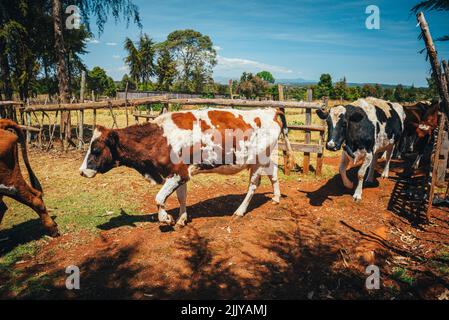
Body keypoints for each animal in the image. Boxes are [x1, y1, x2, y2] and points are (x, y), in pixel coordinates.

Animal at [79, 107, 294, 225]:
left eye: (96, 149)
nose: (81, 171)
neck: (160, 138)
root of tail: (269, 110)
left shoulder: (177, 173)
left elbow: (159, 198)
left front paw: (166, 219)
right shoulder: (180, 174)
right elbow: (181, 197)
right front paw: (182, 218)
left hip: (258, 160)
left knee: (253, 185)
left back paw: (240, 211)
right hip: (267, 156)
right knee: (274, 174)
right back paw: (276, 197)